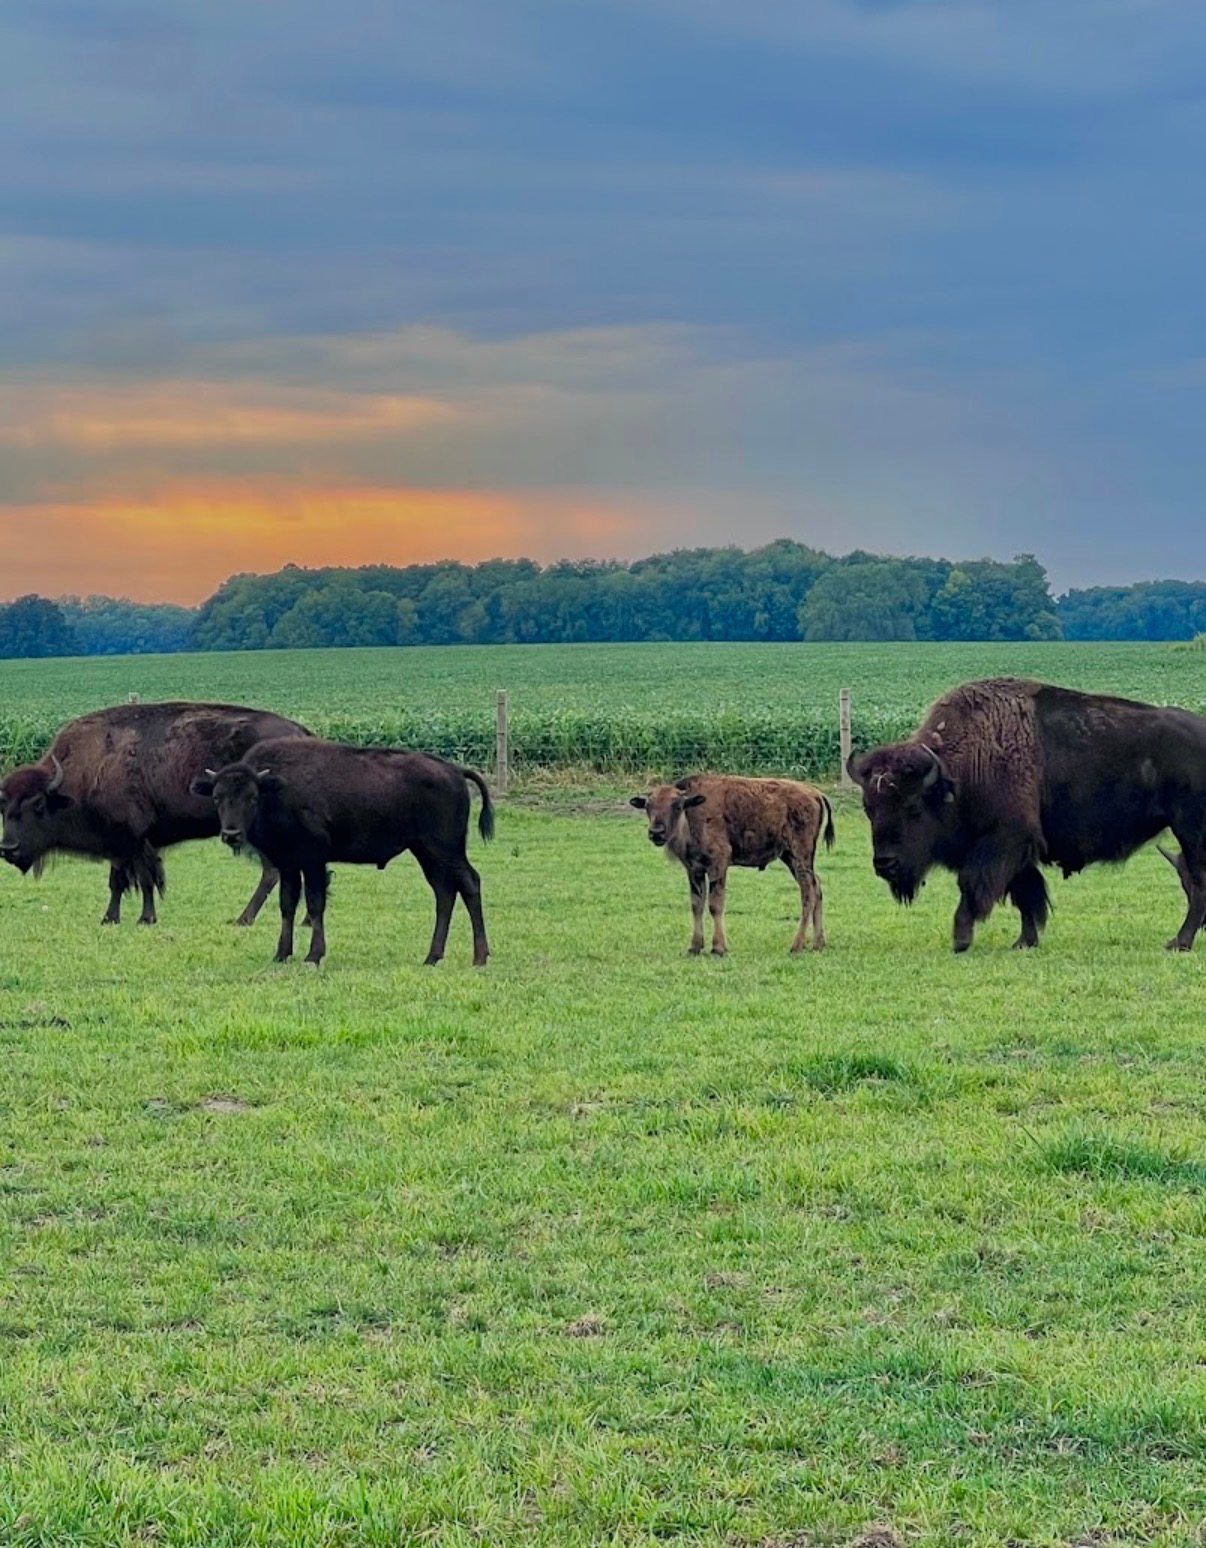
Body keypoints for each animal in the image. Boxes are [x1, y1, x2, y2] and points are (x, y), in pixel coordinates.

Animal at [0, 702, 312, 925]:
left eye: (38, 805)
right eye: (3, 808)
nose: (8, 848)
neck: (91, 768)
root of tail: (301, 732)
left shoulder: (136, 839)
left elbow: (146, 879)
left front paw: (146, 918)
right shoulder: (118, 842)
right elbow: (117, 882)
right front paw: (109, 918)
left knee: (272, 871)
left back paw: (243, 919)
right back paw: (305, 920)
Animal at [192, 738, 493, 966]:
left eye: (251, 797)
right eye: (217, 797)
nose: (231, 834)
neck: (275, 790)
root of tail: (455, 771)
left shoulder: (313, 860)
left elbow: (315, 904)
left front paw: (313, 956)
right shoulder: (288, 864)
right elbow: (287, 905)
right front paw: (281, 954)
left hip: (445, 849)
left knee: (469, 884)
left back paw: (479, 958)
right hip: (426, 853)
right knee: (444, 893)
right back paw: (432, 957)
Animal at [847, 677, 1206, 952]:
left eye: (913, 808)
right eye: (869, 808)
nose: (885, 863)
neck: (962, 770)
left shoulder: (1005, 840)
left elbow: (974, 884)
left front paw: (961, 940)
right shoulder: (1017, 851)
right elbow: (1027, 893)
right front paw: (1024, 942)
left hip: (1190, 830)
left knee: (1197, 882)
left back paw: (1179, 942)